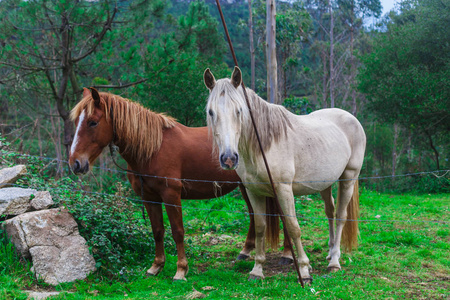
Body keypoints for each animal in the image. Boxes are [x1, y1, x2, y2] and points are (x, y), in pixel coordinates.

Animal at [68, 88, 290, 280]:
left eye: (93, 122)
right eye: (77, 122)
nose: (75, 163)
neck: (153, 148)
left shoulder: (171, 195)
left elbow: (178, 231)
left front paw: (181, 270)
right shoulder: (150, 198)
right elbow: (157, 230)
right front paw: (156, 266)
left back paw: (287, 254)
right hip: (246, 187)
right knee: (254, 215)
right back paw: (244, 252)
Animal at [204, 67, 366, 282]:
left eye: (239, 110)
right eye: (211, 111)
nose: (229, 158)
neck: (263, 146)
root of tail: (351, 118)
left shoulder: (283, 190)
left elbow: (293, 227)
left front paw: (304, 270)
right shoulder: (254, 192)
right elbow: (260, 227)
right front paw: (257, 270)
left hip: (348, 177)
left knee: (340, 216)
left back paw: (334, 262)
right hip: (325, 183)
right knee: (330, 212)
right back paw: (331, 251)